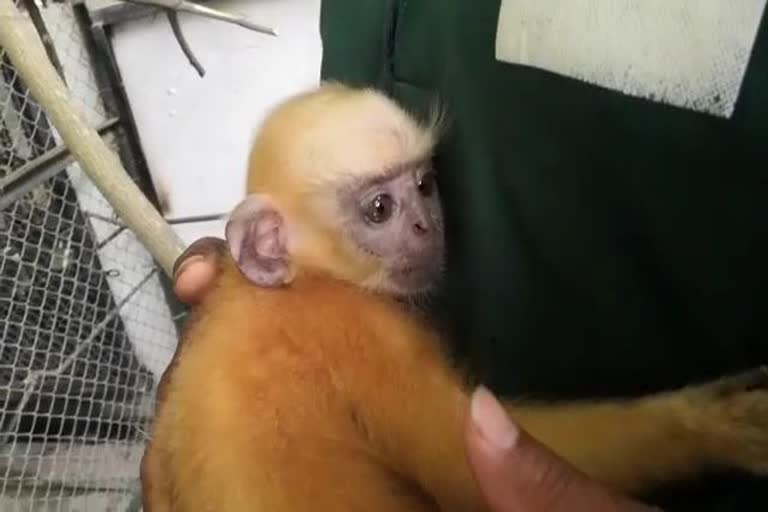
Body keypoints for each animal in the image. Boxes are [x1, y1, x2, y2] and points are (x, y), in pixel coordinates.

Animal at [141, 84, 768, 512]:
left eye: (424, 186)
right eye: (380, 209)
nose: (428, 225)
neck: (303, 282)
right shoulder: (364, 335)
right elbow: (465, 472)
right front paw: (702, 426)